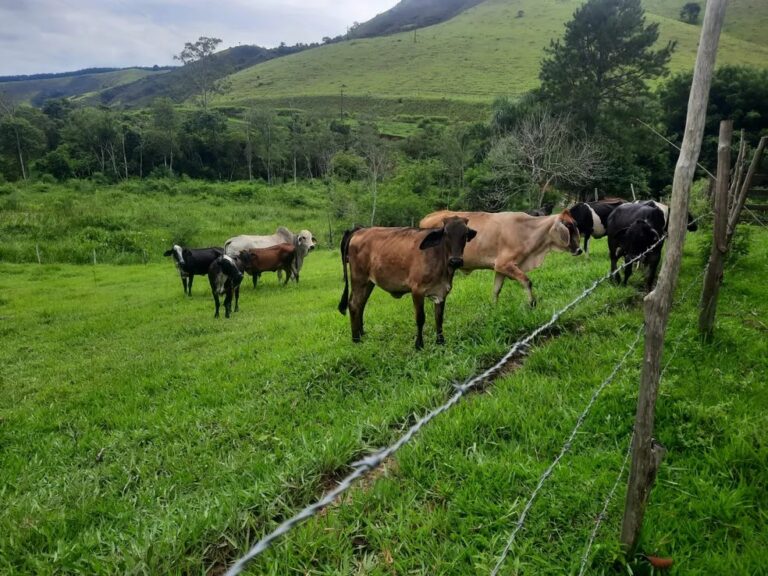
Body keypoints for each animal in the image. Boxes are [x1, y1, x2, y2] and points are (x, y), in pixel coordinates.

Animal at [340, 217, 476, 348]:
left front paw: (441, 342)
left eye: (465, 234)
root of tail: (360, 230)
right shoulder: (417, 290)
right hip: (359, 279)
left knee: (361, 305)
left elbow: (439, 318)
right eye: (446, 233)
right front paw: (419, 345)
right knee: (353, 304)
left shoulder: (442, 291)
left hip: (368, 283)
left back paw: (361, 334)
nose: (456, 261)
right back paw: (356, 339)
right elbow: (420, 318)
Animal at [420, 208, 584, 306]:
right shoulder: (505, 264)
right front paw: (532, 303)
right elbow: (527, 281)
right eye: (569, 226)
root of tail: (428, 217)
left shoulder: (499, 268)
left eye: (575, 225)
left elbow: (496, 289)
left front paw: (494, 306)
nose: (579, 250)